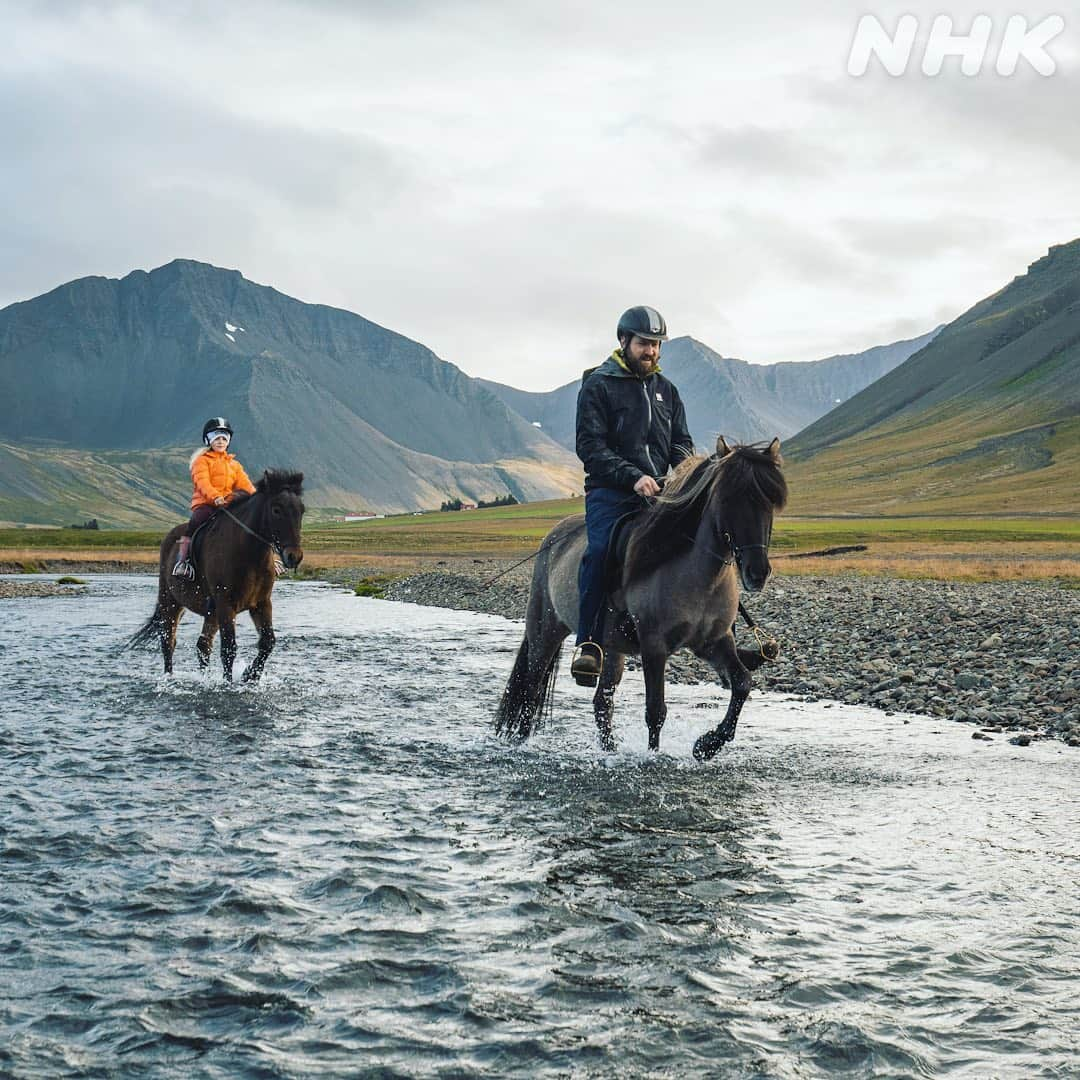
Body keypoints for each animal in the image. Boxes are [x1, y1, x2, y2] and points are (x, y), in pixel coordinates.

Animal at [127, 468, 304, 678]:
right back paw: (169, 677)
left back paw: (204, 677)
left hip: (210, 612)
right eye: (276, 509)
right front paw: (229, 682)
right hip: (170, 601)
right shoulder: (226, 604)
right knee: (168, 641)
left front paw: (250, 676)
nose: (294, 556)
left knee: (203, 645)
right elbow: (229, 648)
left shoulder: (261, 603)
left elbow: (268, 642)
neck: (249, 556)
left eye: (301, 510)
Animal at [494, 438, 786, 760]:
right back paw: (522, 744)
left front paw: (706, 745)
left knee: (601, 702)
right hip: (545, 632)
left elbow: (743, 684)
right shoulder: (654, 646)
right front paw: (655, 757)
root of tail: (552, 539)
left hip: (610, 648)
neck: (694, 574)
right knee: (530, 689)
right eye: (728, 498)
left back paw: (609, 751)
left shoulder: (713, 643)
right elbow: (655, 710)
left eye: (770, 502)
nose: (757, 572)